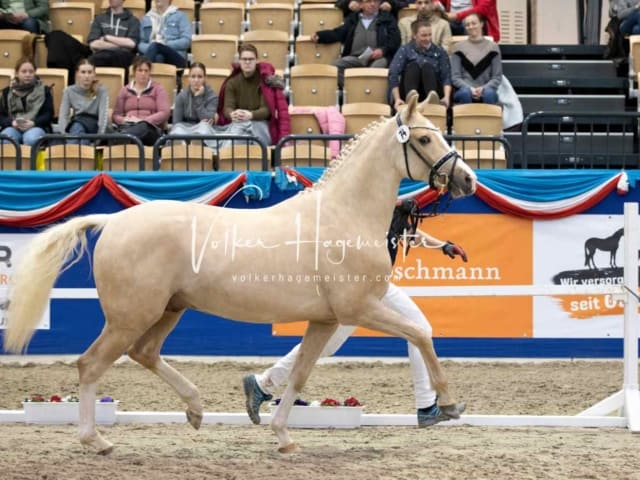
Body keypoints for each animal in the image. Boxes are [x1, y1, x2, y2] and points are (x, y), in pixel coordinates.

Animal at [3, 92, 476, 456]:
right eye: (424, 138)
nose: (468, 180)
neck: (343, 215)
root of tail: (113, 221)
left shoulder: (326, 320)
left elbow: (300, 373)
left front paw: (283, 437)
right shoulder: (359, 309)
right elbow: (421, 334)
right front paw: (449, 405)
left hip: (168, 310)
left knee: (144, 353)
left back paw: (195, 410)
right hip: (129, 317)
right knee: (90, 364)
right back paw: (96, 441)